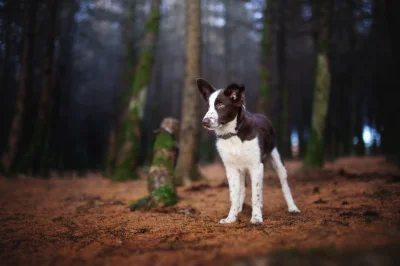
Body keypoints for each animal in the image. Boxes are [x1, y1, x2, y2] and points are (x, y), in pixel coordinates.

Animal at [197, 78, 300, 223]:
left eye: (221, 104)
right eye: (208, 107)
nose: (204, 122)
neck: (233, 134)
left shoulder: (256, 166)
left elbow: (255, 194)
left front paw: (256, 217)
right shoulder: (231, 168)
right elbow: (234, 194)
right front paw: (231, 218)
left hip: (277, 160)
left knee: (284, 185)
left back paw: (293, 208)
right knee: (243, 188)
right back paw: (240, 208)